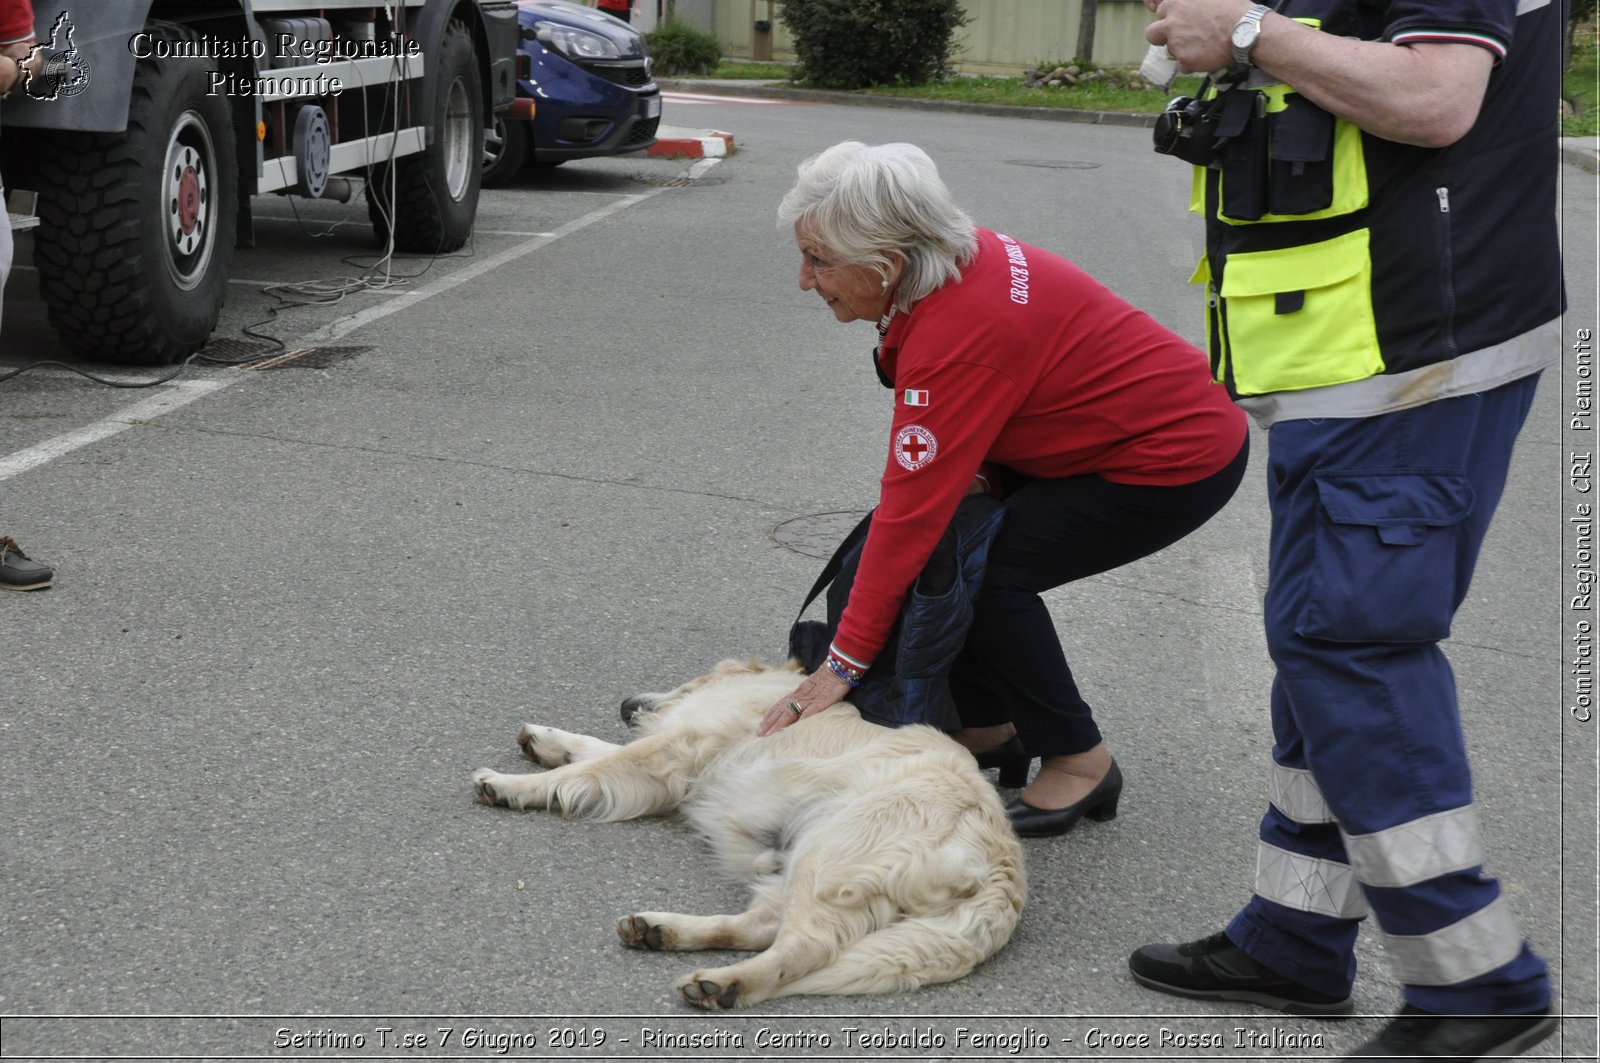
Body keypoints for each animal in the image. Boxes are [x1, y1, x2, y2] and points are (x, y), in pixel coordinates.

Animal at [470, 656, 1024, 1011]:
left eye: (689, 679)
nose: (627, 703)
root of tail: (1004, 868)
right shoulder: (673, 762)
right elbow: (594, 751)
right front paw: (546, 741)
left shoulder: (672, 752)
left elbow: (590, 769)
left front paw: (511, 785)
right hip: (803, 858)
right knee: (762, 928)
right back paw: (661, 930)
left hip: (832, 854)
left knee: (800, 948)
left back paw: (721, 985)